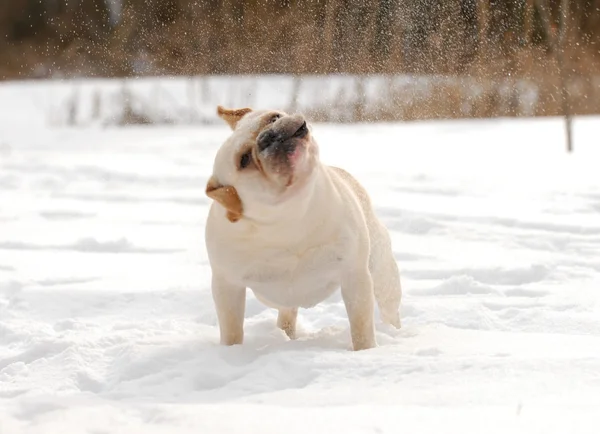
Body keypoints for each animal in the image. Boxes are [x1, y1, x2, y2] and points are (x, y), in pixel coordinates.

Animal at [204, 104, 400, 350]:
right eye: (244, 159)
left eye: (274, 117)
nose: (268, 136)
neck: (290, 214)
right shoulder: (227, 286)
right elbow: (232, 329)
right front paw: (232, 352)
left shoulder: (355, 275)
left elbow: (361, 326)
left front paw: (366, 351)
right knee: (287, 313)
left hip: (383, 275)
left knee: (389, 308)